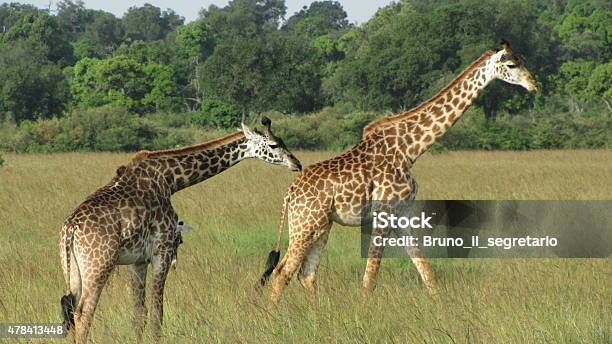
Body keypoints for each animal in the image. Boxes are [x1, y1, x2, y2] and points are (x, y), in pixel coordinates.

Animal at [58, 117, 302, 342]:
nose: (297, 164)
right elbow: (157, 313)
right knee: (83, 313)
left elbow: (138, 313)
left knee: (72, 312)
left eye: (282, 141)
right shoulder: (162, 251)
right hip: (98, 266)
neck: (171, 180)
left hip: (72, 270)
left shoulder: (137, 260)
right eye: (273, 145)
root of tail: (70, 229)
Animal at [260, 39, 536, 304]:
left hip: (321, 225)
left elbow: (426, 271)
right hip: (305, 224)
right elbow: (370, 277)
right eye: (511, 64)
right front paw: (363, 314)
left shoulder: (402, 213)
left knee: (306, 273)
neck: (410, 149)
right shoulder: (383, 212)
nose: (534, 84)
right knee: (282, 272)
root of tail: (289, 193)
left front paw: (441, 309)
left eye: (522, 59)